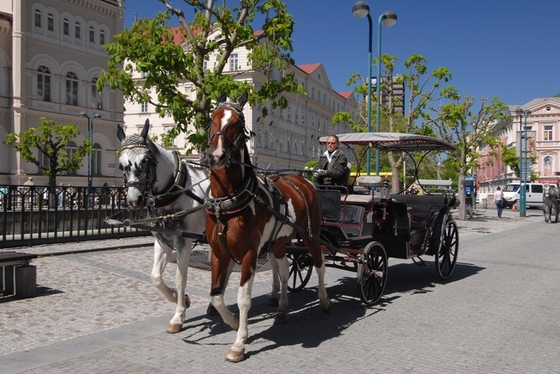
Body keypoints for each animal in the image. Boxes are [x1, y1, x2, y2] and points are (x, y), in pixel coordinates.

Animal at [116, 120, 210, 334]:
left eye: (145, 161)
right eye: (121, 165)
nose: (134, 200)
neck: (176, 190)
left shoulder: (184, 241)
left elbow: (180, 278)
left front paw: (178, 316)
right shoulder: (162, 240)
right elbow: (155, 277)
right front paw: (180, 299)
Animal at [206, 93, 330, 362]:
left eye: (238, 123)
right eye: (212, 118)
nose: (216, 156)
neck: (227, 202)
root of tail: (304, 180)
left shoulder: (249, 254)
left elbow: (243, 298)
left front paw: (239, 343)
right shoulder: (218, 254)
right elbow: (217, 296)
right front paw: (233, 323)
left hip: (311, 236)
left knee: (319, 265)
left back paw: (324, 301)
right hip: (280, 243)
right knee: (283, 272)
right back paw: (282, 308)